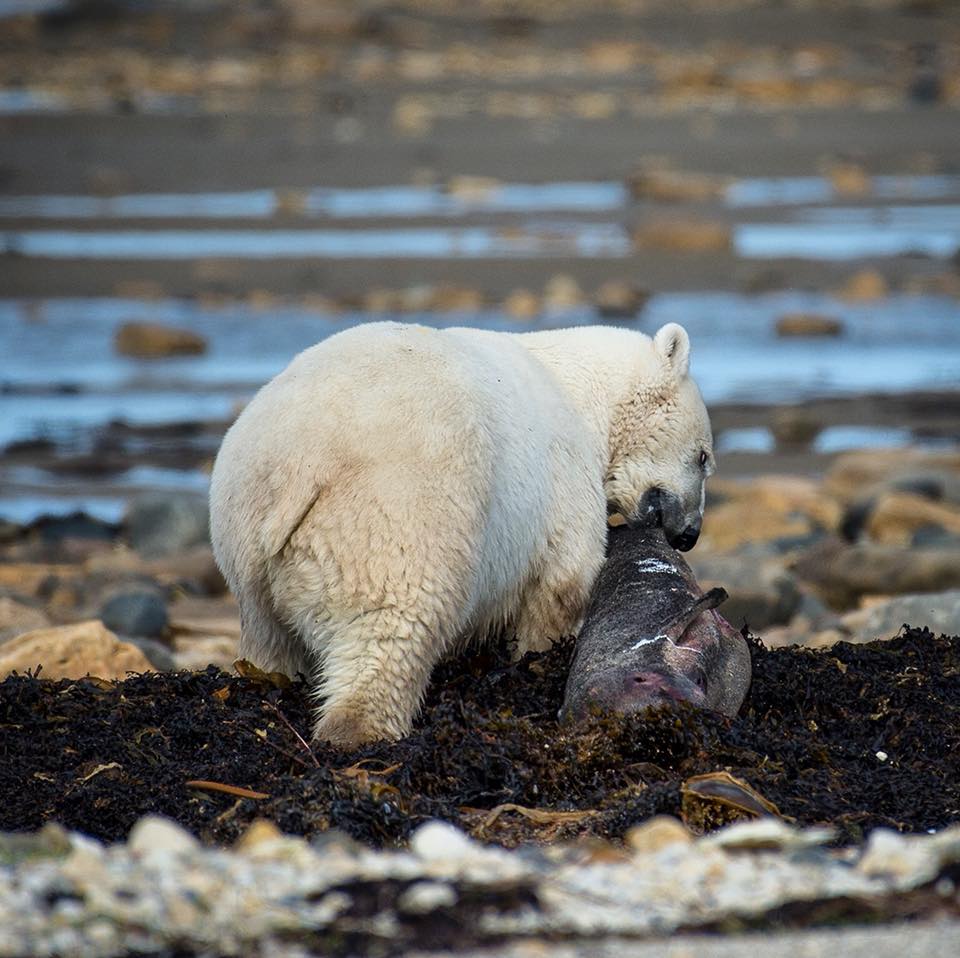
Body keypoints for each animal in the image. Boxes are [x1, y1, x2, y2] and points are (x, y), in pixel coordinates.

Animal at [209, 320, 715, 749]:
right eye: (704, 456)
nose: (689, 534)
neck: (579, 390)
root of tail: (300, 463)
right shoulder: (564, 479)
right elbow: (561, 586)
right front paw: (539, 654)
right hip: (397, 509)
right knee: (395, 619)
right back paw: (362, 728)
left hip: (242, 528)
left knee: (269, 636)